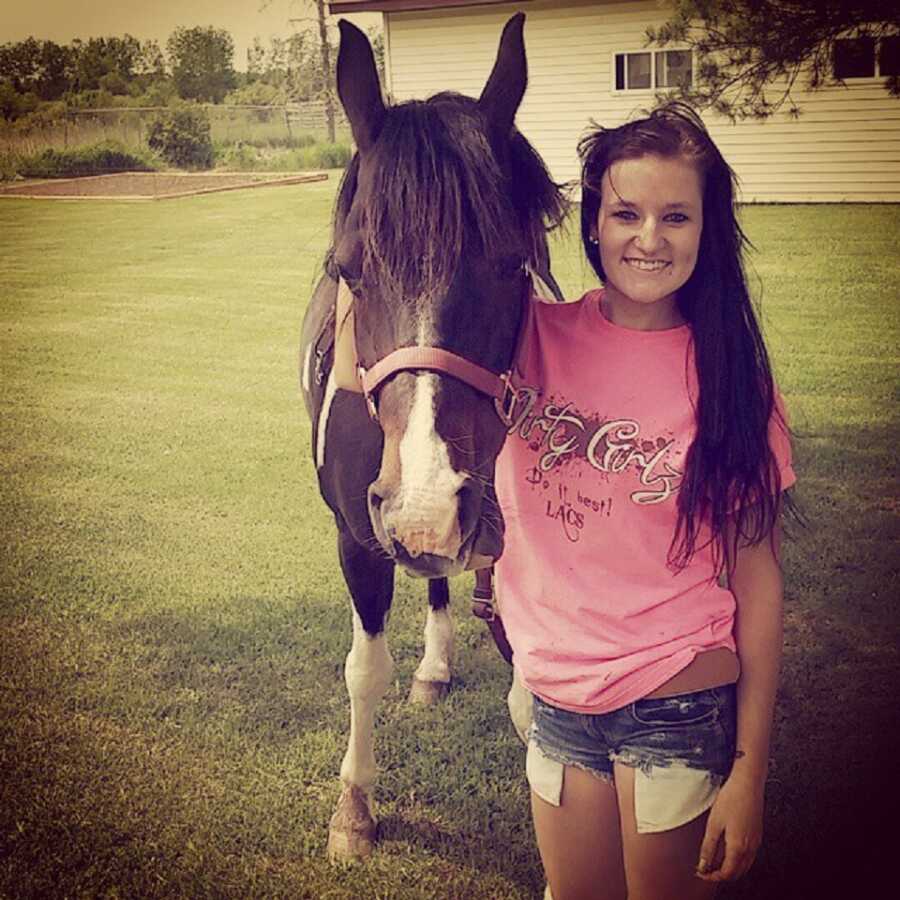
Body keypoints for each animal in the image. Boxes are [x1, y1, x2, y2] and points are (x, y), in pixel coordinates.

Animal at [298, 14, 564, 856]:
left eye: (515, 265)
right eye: (349, 270)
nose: (427, 506)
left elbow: (534, 705)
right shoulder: (357, 536)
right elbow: (364, 670)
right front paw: (354, 806)